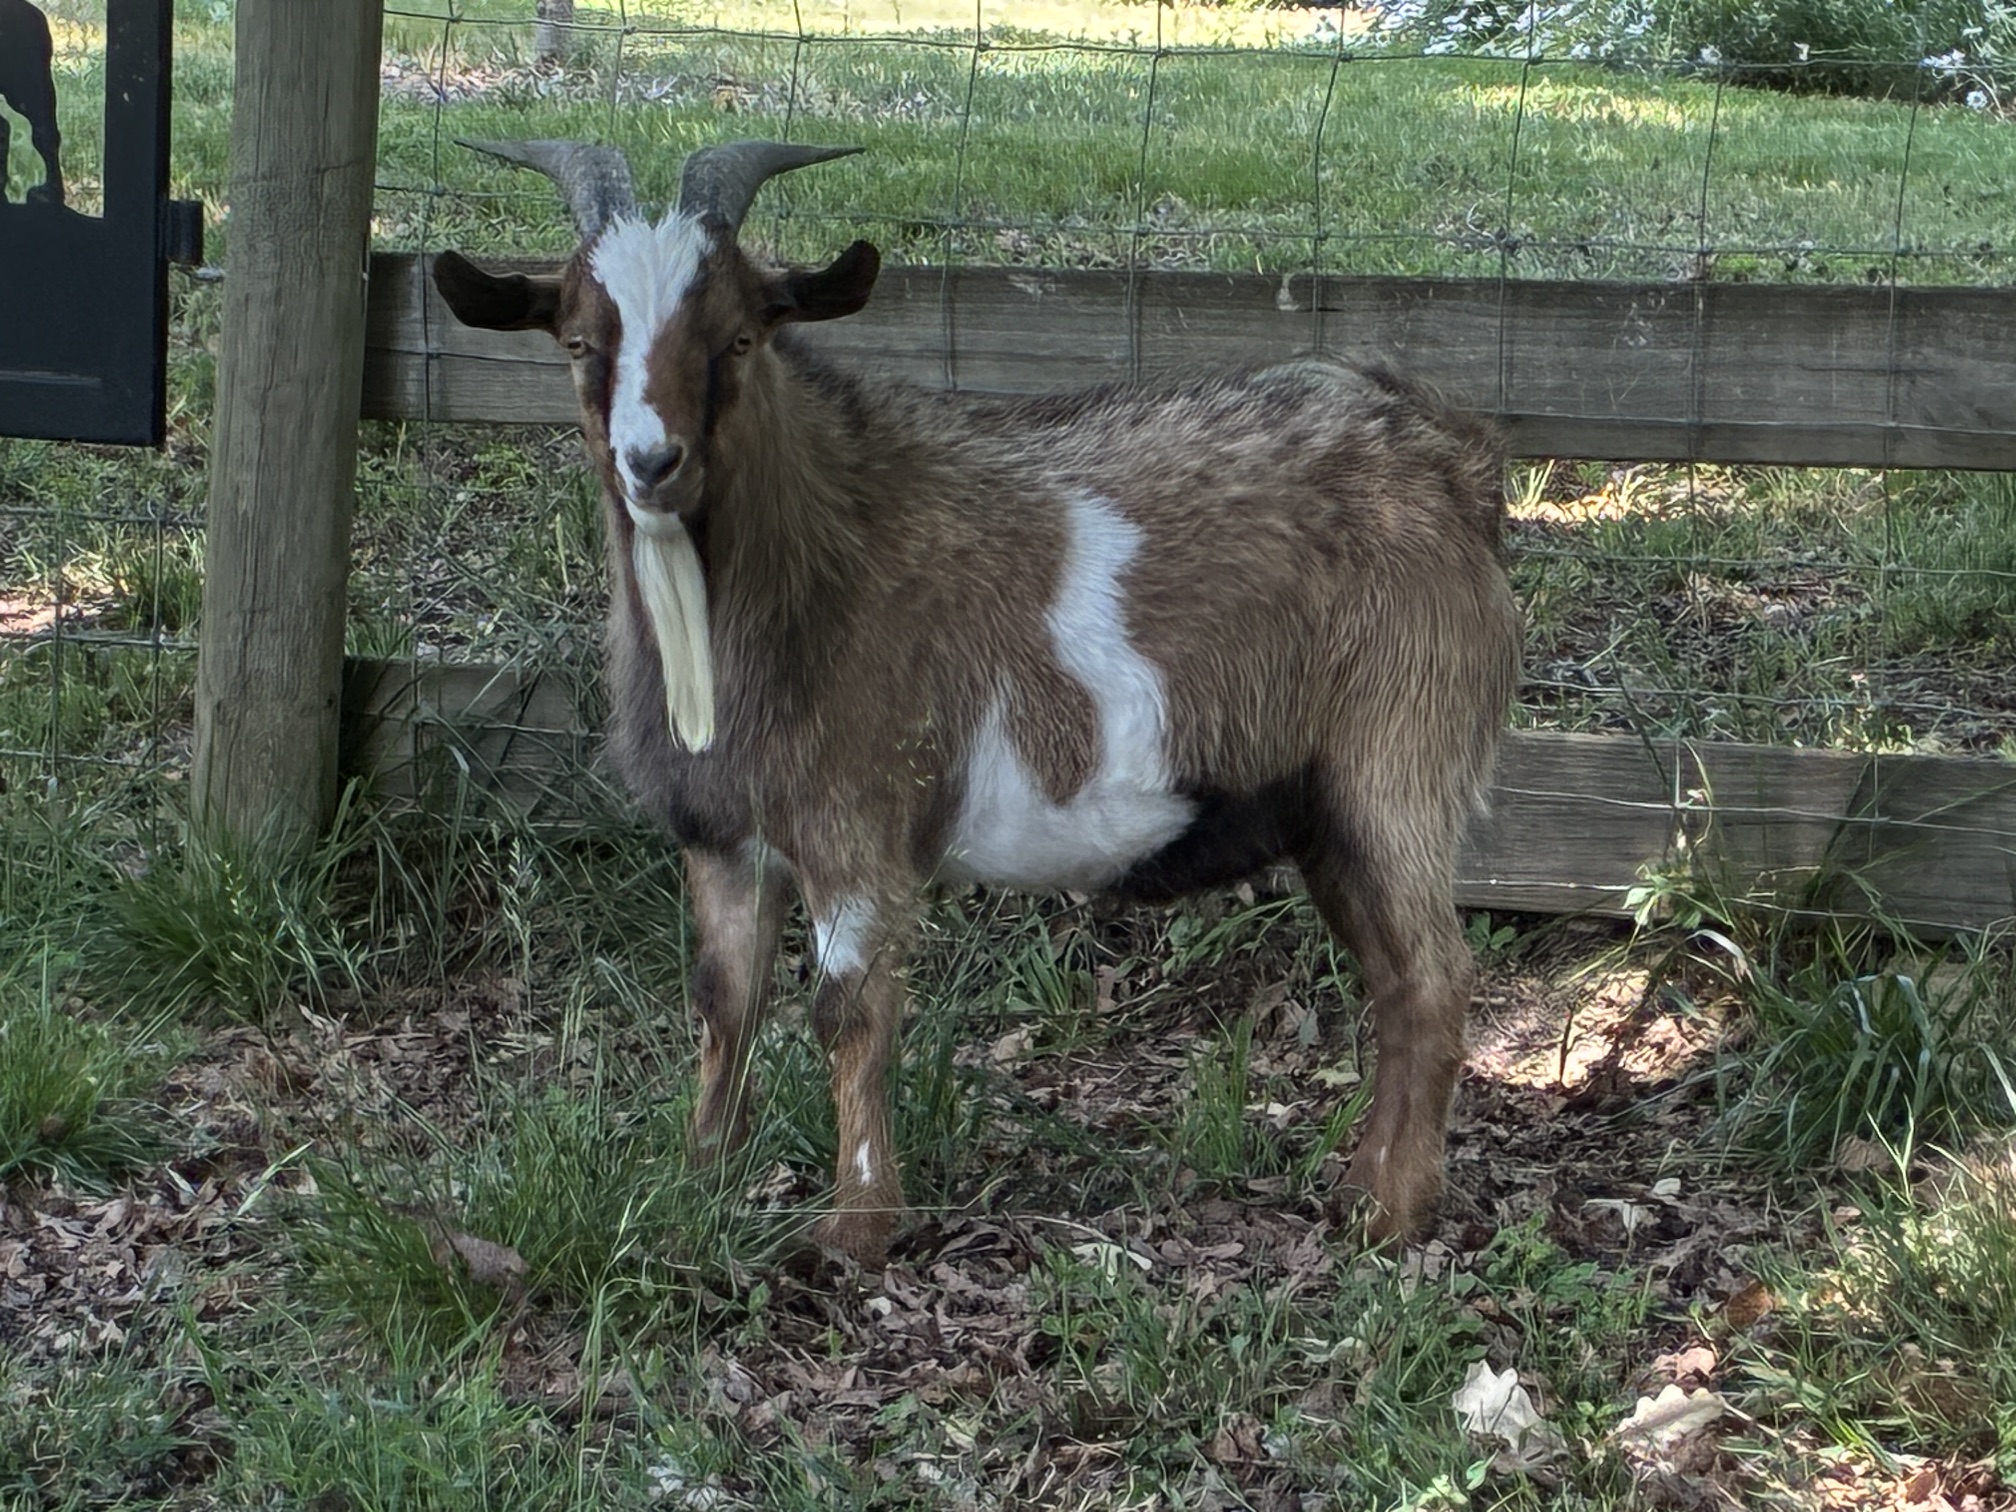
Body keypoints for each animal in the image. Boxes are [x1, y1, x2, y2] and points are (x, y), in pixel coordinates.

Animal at [432, 139, 1521, 1264]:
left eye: (738, 334)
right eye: (576, 341)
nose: (653, 463)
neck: (819, 558)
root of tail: (1452, 461)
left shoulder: (856, 830)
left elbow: (847, 1015)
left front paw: (855, 1229)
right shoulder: (723, 837)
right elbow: (721, 1002)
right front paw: (700, 1187)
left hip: (1399, 759)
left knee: (1436, 976)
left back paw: (1394, 1216)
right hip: (1322, 807)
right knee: (1393, 977)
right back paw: (1362, 1189)